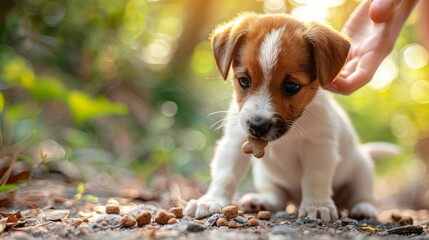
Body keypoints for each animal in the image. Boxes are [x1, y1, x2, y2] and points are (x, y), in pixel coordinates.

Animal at [186, 13, 376, 221]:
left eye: (292, 86)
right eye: (243, 81)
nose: (257, 126)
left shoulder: (320, 147)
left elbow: (315, 178)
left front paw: (317, 205)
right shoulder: (235, 142)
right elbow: (225, 174)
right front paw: (211, 200)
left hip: (362, 170)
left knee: (362, 195)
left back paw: (364, 208)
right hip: (265, 176)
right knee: (278, 197)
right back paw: (261, 201)